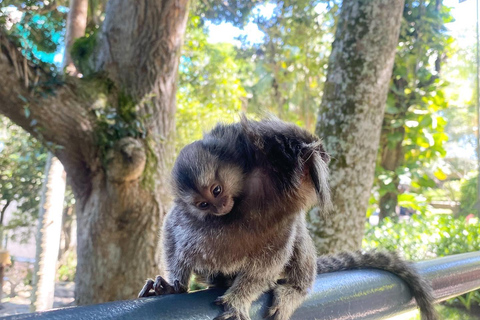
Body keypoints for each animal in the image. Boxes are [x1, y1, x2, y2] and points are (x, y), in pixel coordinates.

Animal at [140, 117, 438, 320]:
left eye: (217, 190)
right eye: (204, 202)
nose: (220, 205)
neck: (237, 214)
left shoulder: (281, 225)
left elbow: (265, 267)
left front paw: (239, 299)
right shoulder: (186, 219)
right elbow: (172, 239)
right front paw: (175, 286)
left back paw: (295, 288)